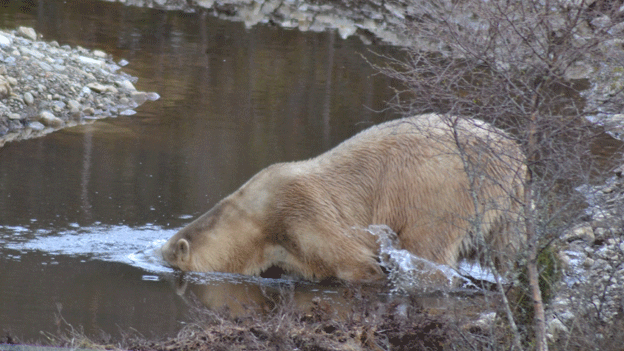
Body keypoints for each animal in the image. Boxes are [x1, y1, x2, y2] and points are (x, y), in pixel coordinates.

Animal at [162, 114, 528, 282]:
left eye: (171, 262)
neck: (257, 218)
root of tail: (516, 154)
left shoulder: (301, 212)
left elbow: (354, 261)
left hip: (441, 191)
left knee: (427, 249)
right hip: (508, 206)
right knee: (511, 247)